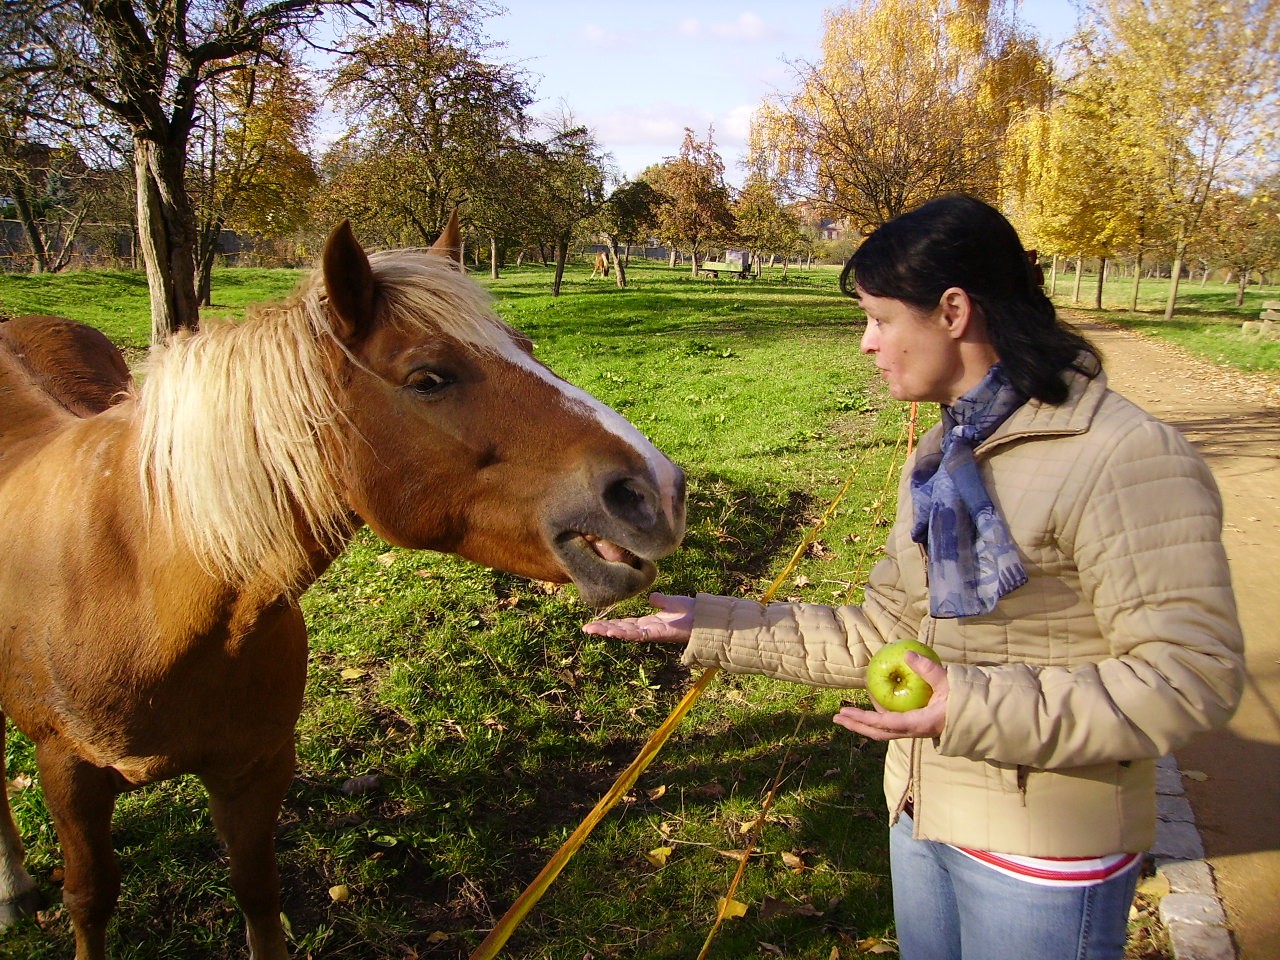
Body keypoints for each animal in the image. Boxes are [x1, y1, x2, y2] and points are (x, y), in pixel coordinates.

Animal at [0, 217, 691, 960]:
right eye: (428, 378)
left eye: (528, 347)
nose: (657, 491)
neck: (144, 590)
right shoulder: (66, 770)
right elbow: (90, 898)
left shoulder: (256, 767)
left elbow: (258, 893)